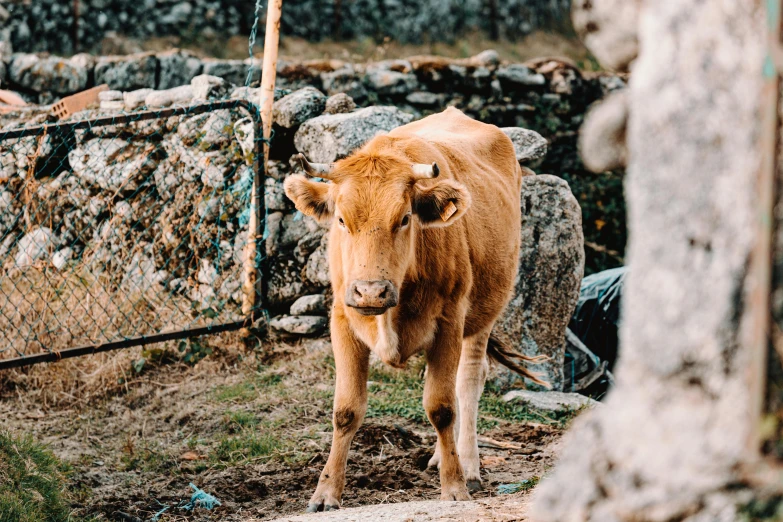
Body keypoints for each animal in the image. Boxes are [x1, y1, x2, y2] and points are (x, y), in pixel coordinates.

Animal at [284, 105, 548, 508]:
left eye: (405, 218)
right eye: (342, 219)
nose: (371, 292)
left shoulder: (449, 322)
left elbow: (442, 407)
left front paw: (454, 486)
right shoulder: (342, 319)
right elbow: (345, 411)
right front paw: (326, 492)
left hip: (483, 315)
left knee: (469, 381)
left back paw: (468, 465)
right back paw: (442, 455)